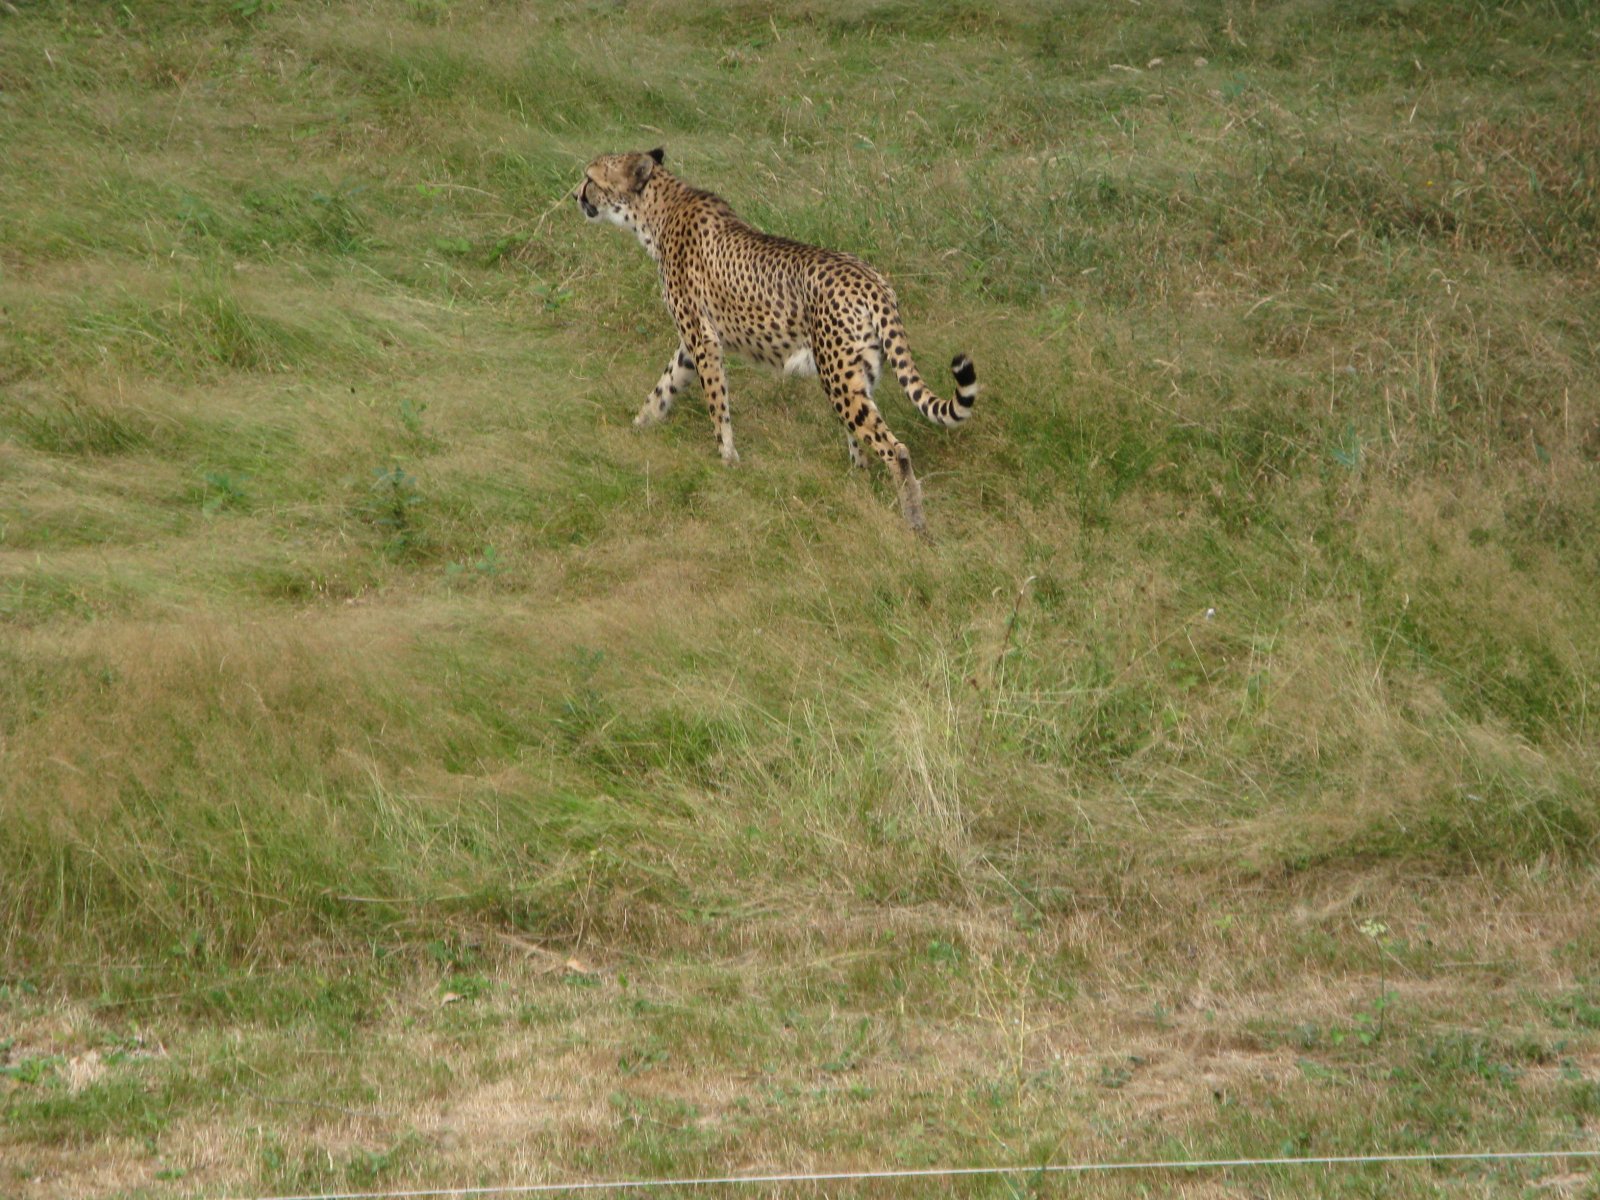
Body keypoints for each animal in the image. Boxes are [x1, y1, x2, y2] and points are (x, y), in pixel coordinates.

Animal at [576, 148, 972, 534]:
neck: (658, 209)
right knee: (860, 433)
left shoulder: (703, 340)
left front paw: (728, 460)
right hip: (858, 373)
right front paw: (638, 426)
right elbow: (664, 386)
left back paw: (914, 520)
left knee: (894, 448)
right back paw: (855, 478)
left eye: (590, 177)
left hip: (837, 375)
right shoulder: (692, 345)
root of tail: (872, 280)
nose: (577, 195)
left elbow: (716, 404)